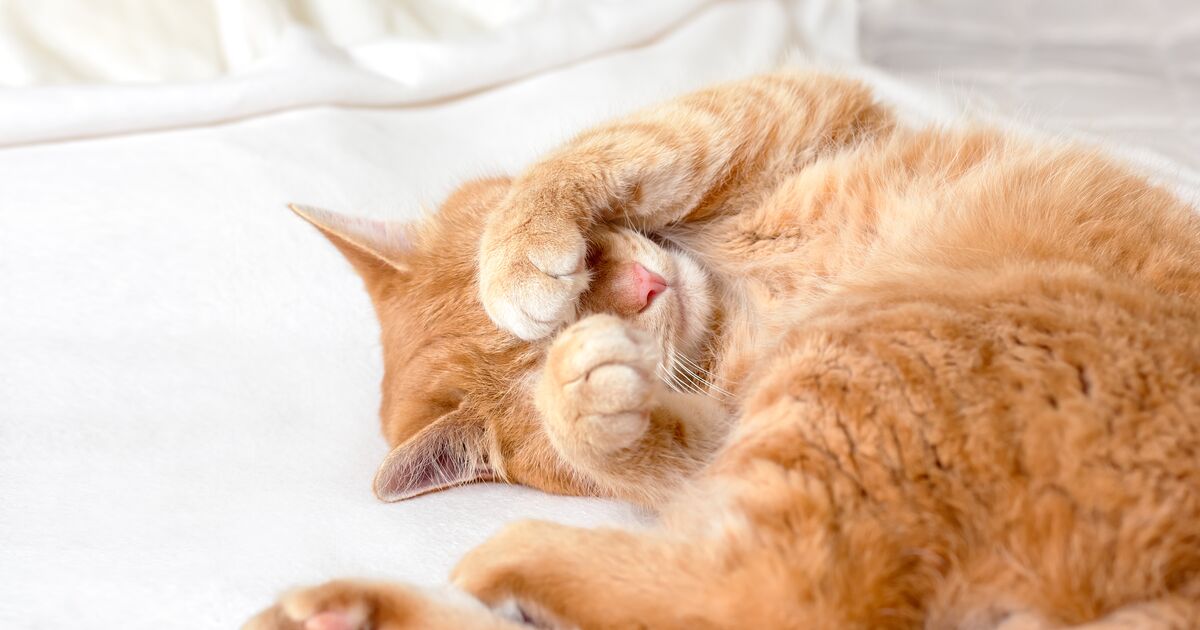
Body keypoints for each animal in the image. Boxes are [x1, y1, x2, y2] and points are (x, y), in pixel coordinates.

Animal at [243, 71, 1200, 624]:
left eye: (593, 269)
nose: (645, 289)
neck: (732, 296)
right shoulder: (731, 437)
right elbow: (654, 454)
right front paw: (581, 403)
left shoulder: (792, 101)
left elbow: (617, 144)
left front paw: (520, 257)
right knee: (774, 592)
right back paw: (367, 601)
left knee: (777, 594)